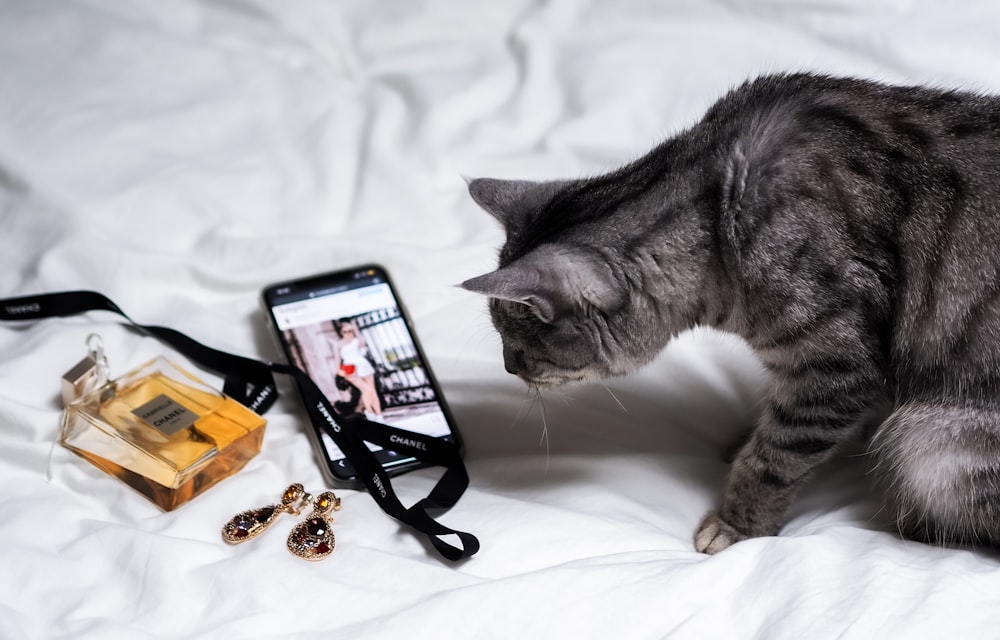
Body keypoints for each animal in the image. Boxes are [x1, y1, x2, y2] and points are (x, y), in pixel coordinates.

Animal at [464, 71, 1000, 556]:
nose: (509, 368)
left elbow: (773, 459)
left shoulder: (836, 366)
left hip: (930, 445)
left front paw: (737, 524)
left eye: (518, 347)